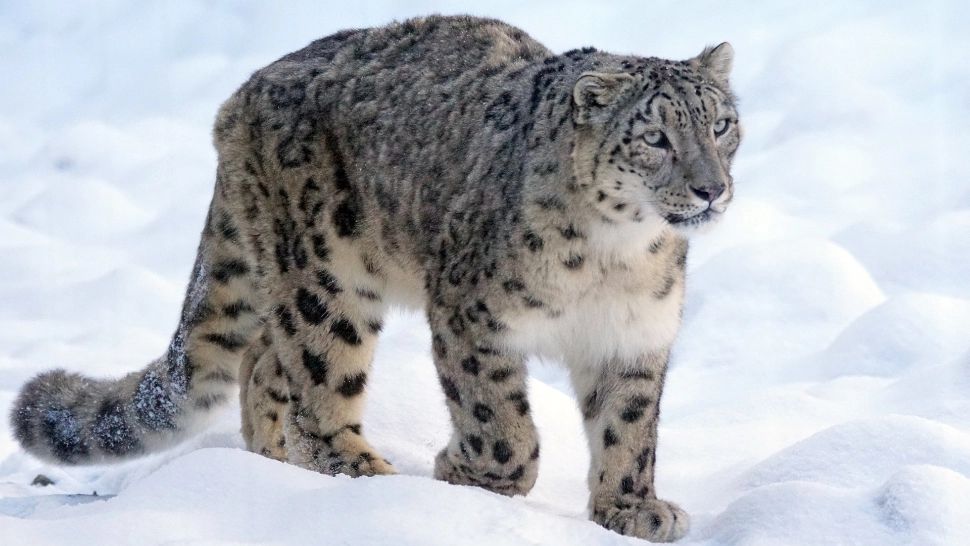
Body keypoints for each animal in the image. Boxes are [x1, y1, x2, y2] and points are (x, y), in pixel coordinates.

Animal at [10, 15, 740, 542]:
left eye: (722, 124)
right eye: (654, 137)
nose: (711, 188)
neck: (617, 256)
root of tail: (242, 97)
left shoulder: (634, 336)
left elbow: (630, 428)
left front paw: (632, 508)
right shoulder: (473, 318)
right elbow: (502, 424)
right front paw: (464, 472)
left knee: (263, 363)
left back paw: (272, 465)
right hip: (326, 278)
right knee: (315, 381)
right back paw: (363, 476)